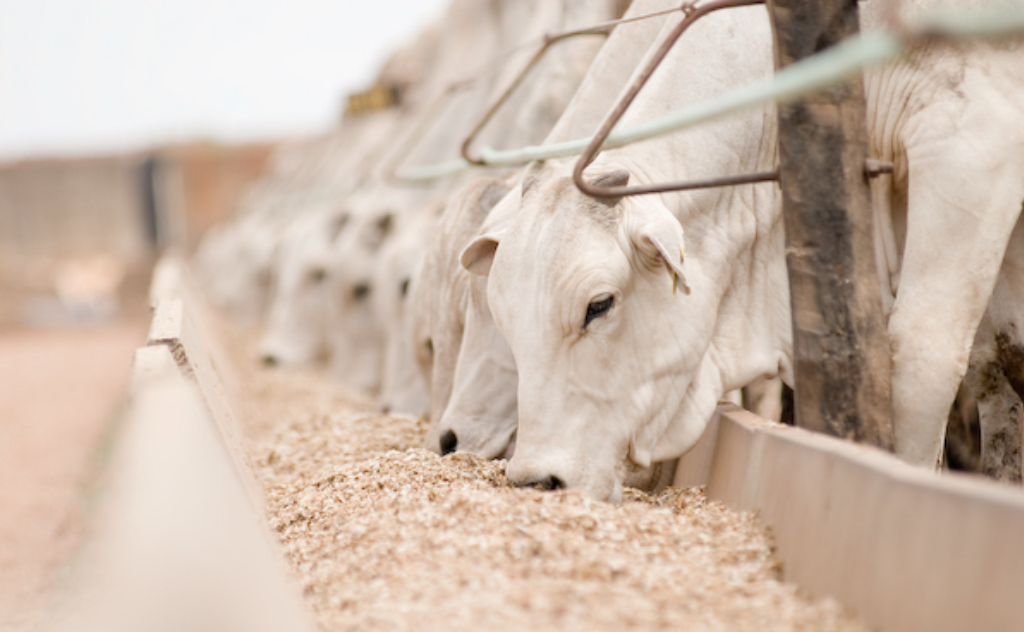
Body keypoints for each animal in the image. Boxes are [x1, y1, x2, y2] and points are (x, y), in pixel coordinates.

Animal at [461, 1, 1024, 500]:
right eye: (503, 317)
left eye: (598, 306)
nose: (538, 481)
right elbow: (998, 357)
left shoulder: (972, 139)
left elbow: (923, 356)